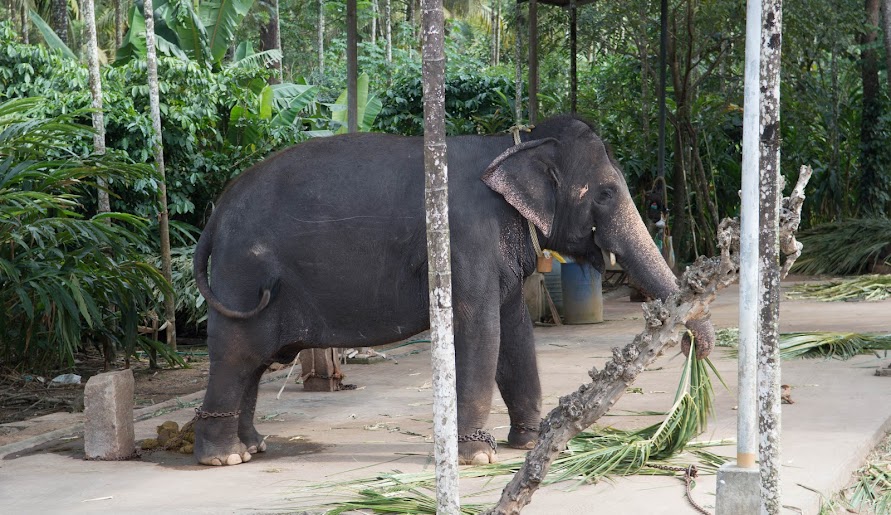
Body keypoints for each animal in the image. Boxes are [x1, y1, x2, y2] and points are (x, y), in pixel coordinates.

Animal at [192, 115, 716, 467]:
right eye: (606, 193)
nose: (696, 349)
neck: (511, 144)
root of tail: (218, 212)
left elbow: (515, 330)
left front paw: (530, 441)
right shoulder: (465, 238)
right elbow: (480, 328)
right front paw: (476, 459)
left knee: (255, 363)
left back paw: (252, 447)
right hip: (244, 276)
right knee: (238, 354)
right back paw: (223, 458)